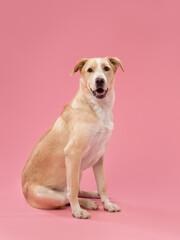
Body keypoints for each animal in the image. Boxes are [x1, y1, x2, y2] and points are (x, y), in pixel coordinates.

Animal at [21, 57, 124, 218]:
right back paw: (86, 204)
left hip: (79, 170)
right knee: (67, 196)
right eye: (90, 70)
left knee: (75, 191)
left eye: (106, 68)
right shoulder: (73, 153)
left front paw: (107, 204)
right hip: (51, 191)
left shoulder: (99, 157)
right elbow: (73, 190)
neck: (98, 107)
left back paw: (93, 195)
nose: (99, 80)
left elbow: (102, 185)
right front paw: (77, 211)